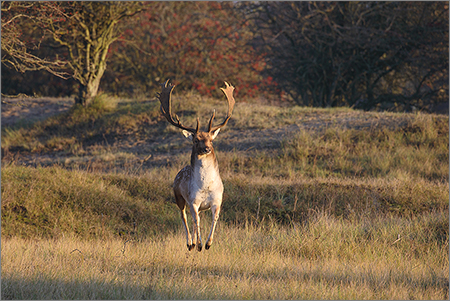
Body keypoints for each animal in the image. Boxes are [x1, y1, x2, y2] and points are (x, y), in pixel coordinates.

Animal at [156, 78, 236, 250]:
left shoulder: (217, 200)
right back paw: (190, 243)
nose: (207, 148)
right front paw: (199, 244)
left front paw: (208, 243)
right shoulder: (193, 200)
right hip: (179, 197)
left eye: (211, 139)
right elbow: (195, 220)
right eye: (195, 140)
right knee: (185, 217)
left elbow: (214, 219)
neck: (206, 186)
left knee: (193, 219)